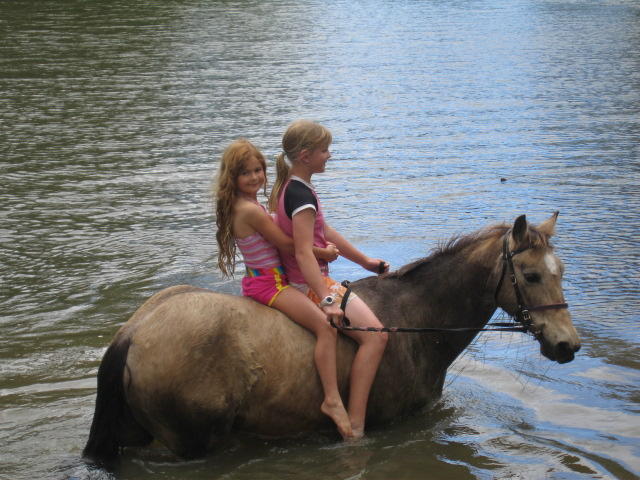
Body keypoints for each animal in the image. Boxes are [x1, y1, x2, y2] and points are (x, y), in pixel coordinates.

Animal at [82, 213, 580, 464]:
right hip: (188, 441)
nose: (568, 345)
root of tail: (134, 332)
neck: (418, 321)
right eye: (531, 275)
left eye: (560, 271)